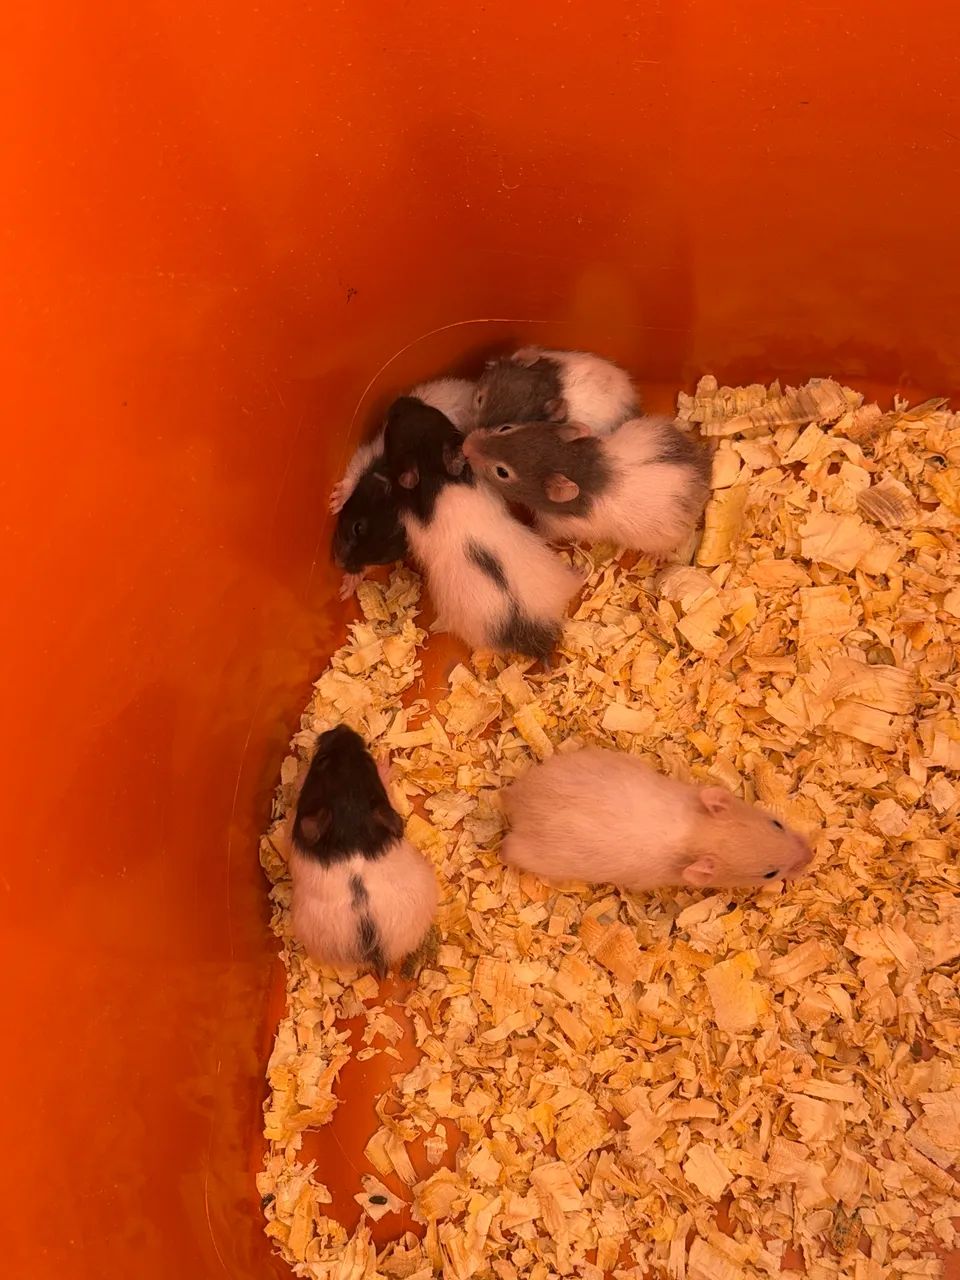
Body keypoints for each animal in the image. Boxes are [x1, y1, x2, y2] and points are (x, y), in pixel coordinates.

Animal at [462, 416, 711, 557]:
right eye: (505, 427)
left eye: (502, 472)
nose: (465, 445)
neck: (568, 461)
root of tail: (701, 474)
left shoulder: (554, 525)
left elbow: (543, 532)